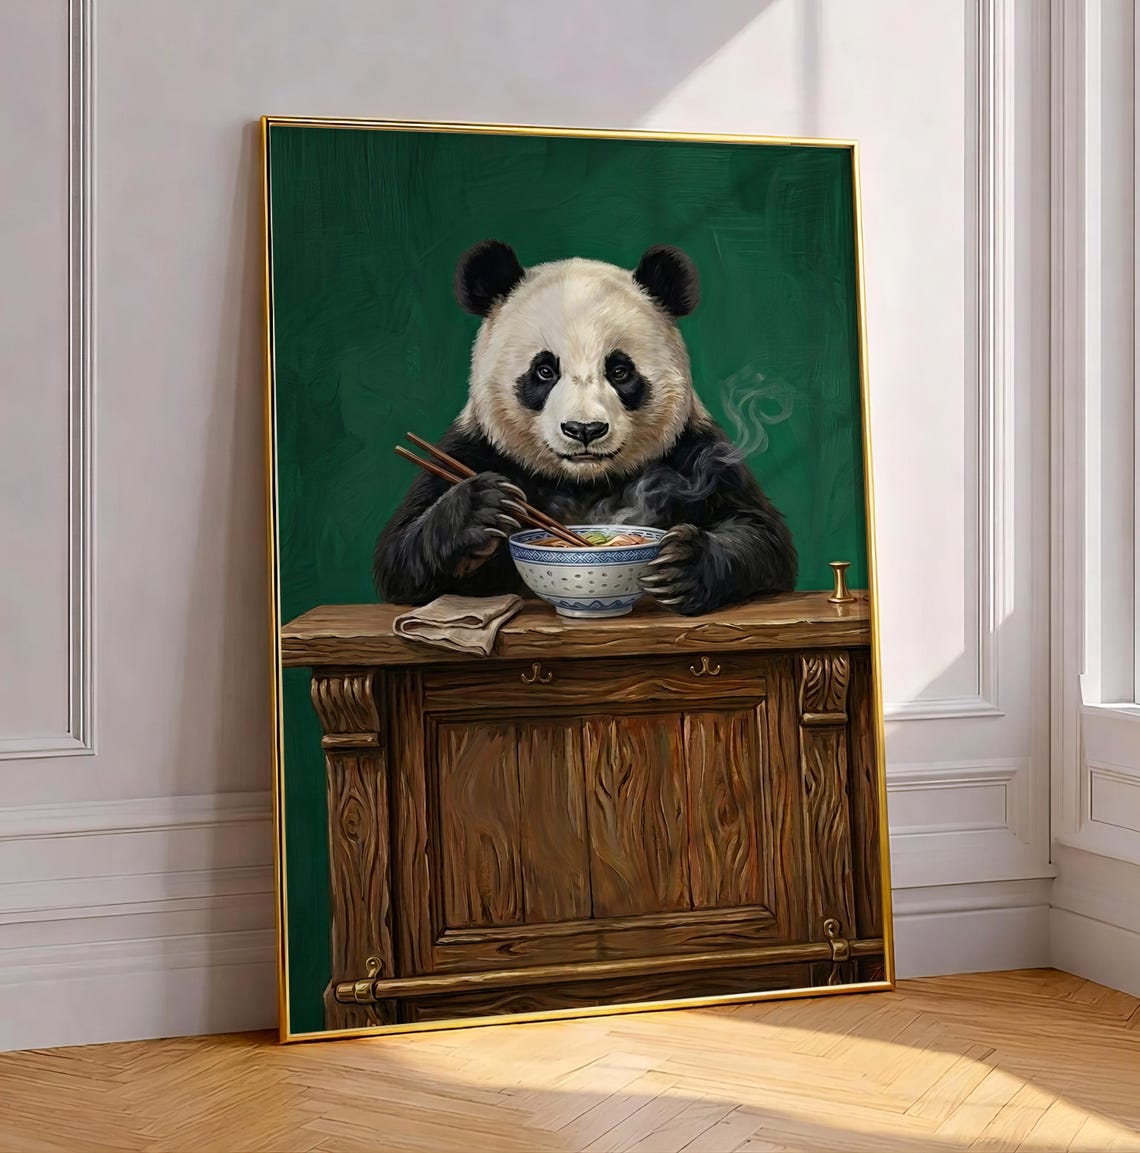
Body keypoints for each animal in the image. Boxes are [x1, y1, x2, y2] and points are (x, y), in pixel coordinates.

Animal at [372, 240, 797, 616]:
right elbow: (399, 555)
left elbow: (762, 535)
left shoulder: (696, 452)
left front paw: (682, 566)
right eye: (544, 370)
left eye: (620, 370)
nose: (584, 429)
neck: (583, 482)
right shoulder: (473, 447)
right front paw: (482, 508)